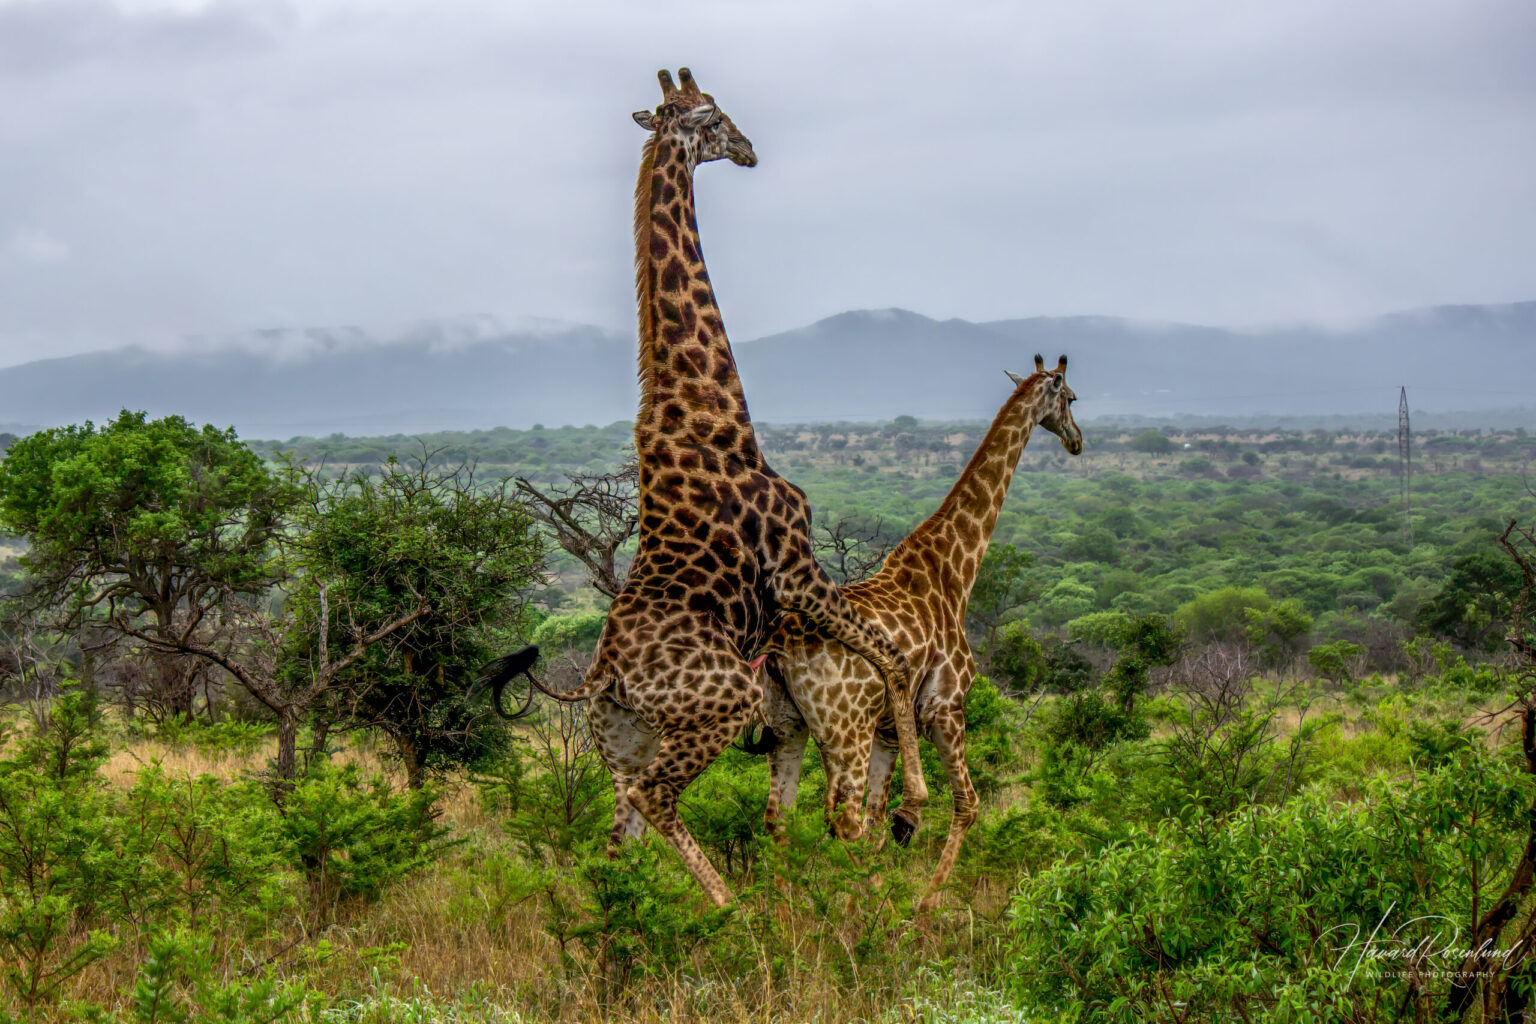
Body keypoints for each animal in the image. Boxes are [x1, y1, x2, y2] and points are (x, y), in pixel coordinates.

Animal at [484, 68, 927, 907]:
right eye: (716, 116)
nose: (751, 149)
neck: (710, 410)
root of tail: (602, 681)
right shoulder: (796, 569)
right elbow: (892, 658)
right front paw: (914, 798)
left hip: (619, 743)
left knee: (617, 835)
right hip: (717, 707)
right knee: (657, 801)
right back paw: (729, 910)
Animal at [757, 356, 1081, 912]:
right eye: (1072, 398)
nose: (1077, 440)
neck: (954, 571)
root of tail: (781, 647)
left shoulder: (890, 730)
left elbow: (881, 819)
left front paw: (873, 895)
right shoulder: (945, 707)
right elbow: (967, 805)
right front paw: (924, 904)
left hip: (791, 725)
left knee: (782, 817)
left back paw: (788, 917)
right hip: (845, 727)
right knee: (838, 815)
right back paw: (858, 914)